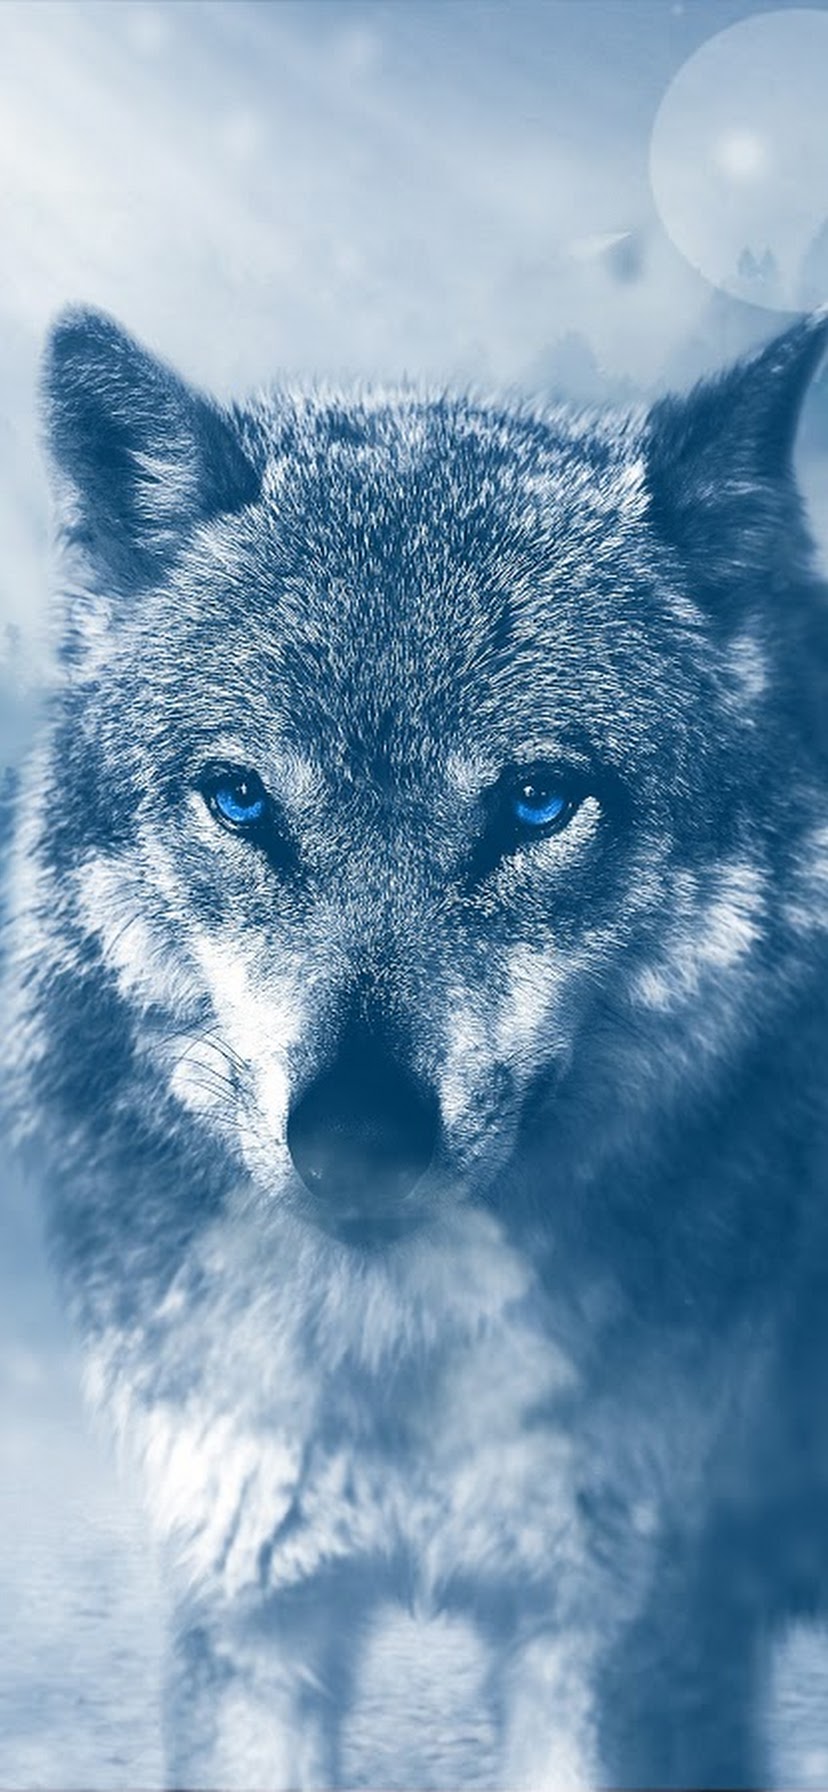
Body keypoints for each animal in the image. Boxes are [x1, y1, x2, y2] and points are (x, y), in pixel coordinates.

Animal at [3, 304, 828, 1790]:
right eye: (240, 799)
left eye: (539, 801)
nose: (359, 1138)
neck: (392, 1360)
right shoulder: (252, 1609)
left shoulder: (619, 1634)